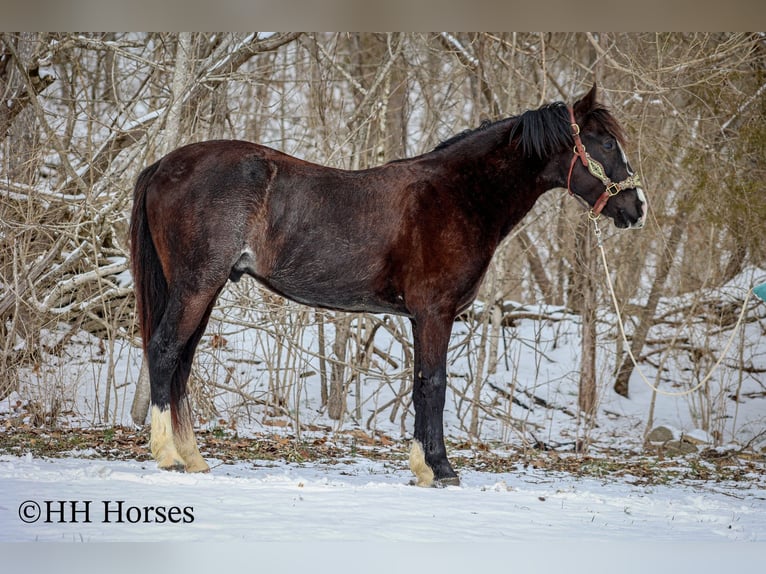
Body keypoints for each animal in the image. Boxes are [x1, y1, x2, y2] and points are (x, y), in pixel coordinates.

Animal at [130, 85, 648, 488]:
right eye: (605, 143)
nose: (637, 208)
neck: (459, 195)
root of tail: (163, 165)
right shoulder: (435, 313)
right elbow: (434, 385)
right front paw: (441, 470)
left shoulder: (422, 317)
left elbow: (420, 384)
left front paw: (424, 467)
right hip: (197, 285)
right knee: (165, 350)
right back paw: (169, 455)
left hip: (205, 289)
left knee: (182, 362)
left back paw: (194, 458)